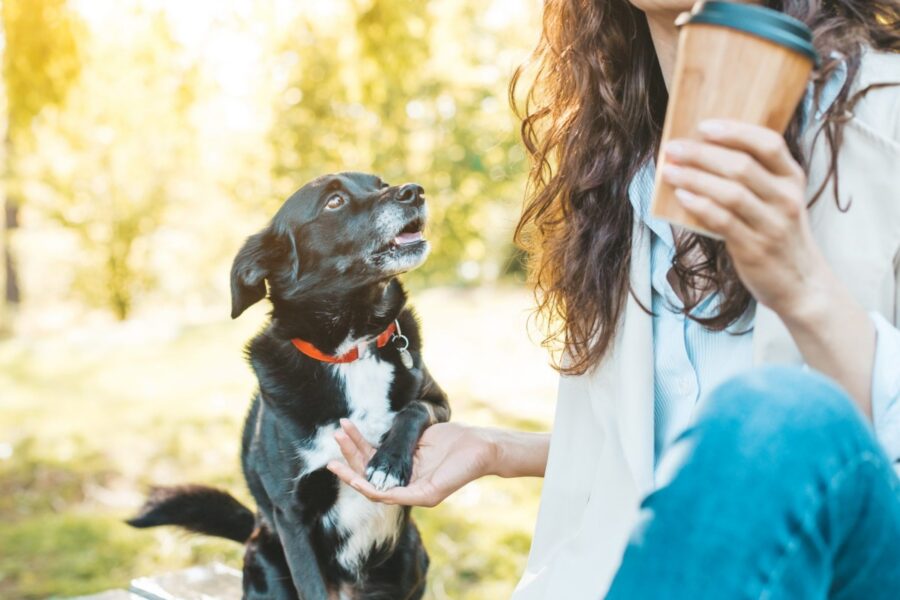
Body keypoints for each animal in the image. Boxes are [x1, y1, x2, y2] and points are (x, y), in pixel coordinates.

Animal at [128, 171, 450, 596]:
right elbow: (310, 587)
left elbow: (413, 408)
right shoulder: (292, 514)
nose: (414, 191)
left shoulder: (440, 403)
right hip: (267, 555)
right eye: (333, 201)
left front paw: (389, 461)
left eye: (380, 183)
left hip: (410, 555)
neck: (351, 349)